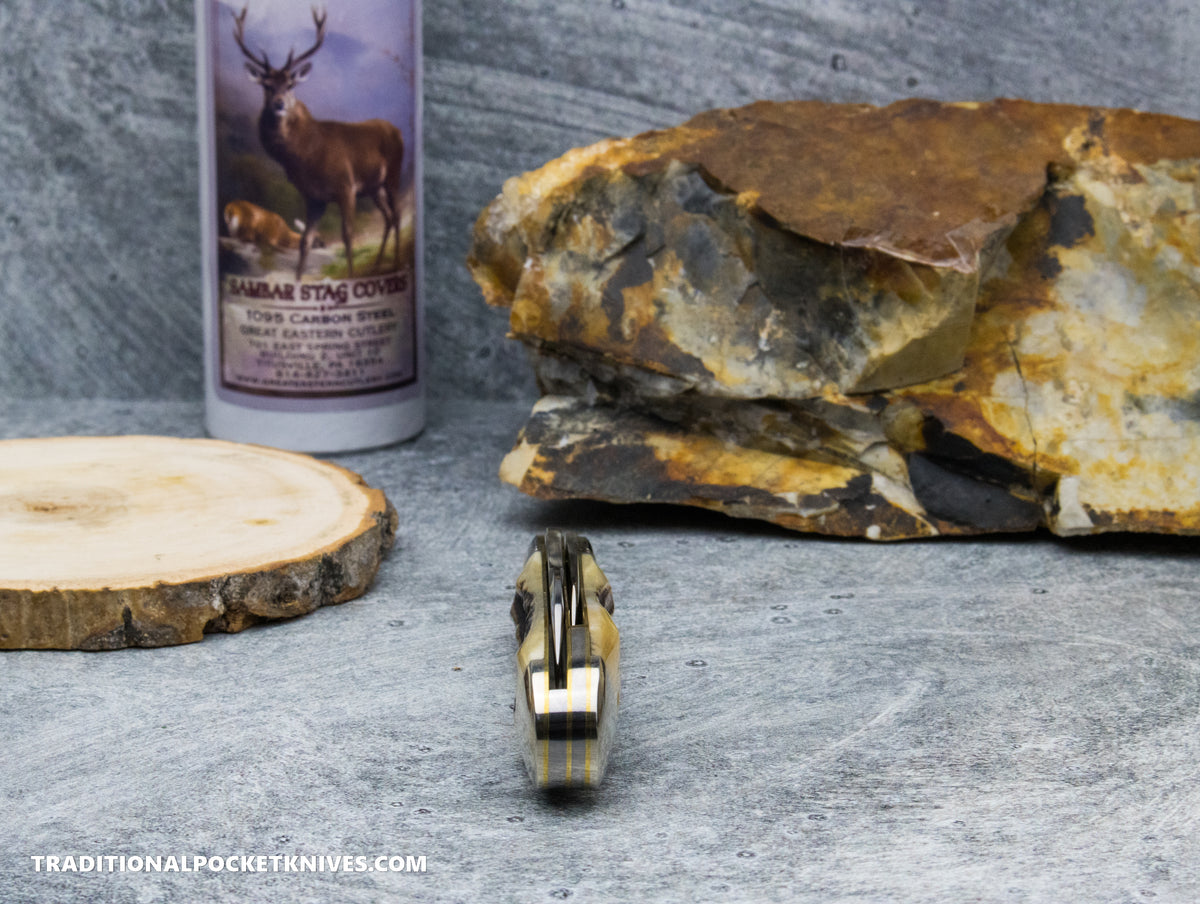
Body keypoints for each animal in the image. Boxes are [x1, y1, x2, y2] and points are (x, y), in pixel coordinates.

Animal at [233, 6, 404, 281]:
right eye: (267, 85)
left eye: (290, 84)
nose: (279, 104)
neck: (307, 155)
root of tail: (396, 129)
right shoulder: (314, 197)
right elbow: (305, 241)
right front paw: (297, 281)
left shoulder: (346, 186)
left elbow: (348, 235)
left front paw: (351, 277)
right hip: (373, 187)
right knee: (387, 217)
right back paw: (378, 265)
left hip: (393, 175)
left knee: (397, 214)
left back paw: (396, 262)